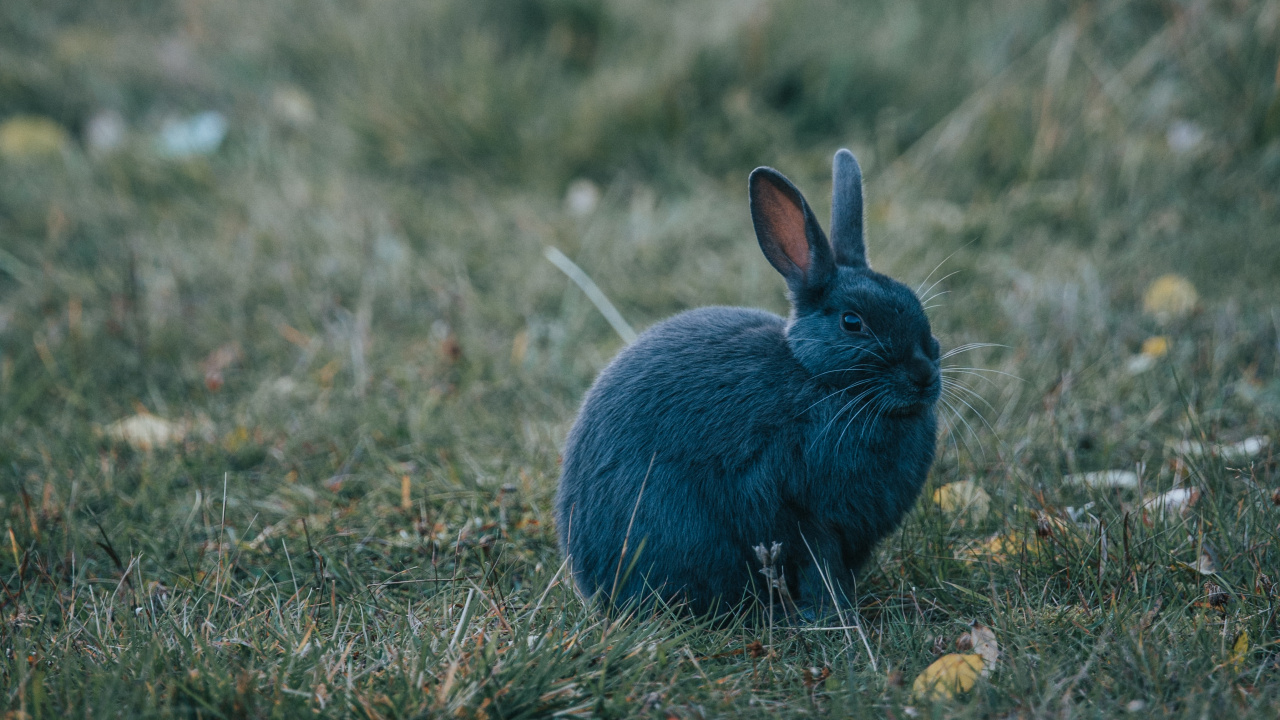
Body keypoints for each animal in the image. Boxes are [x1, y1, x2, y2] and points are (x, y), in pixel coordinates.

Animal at [554, 149, 941, 617]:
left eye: (916, 305)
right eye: (853, 322)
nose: (925, 375)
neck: (821, 382)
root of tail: (589, 578)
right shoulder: (800, 512)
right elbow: (818, 567)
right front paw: (831, 616)